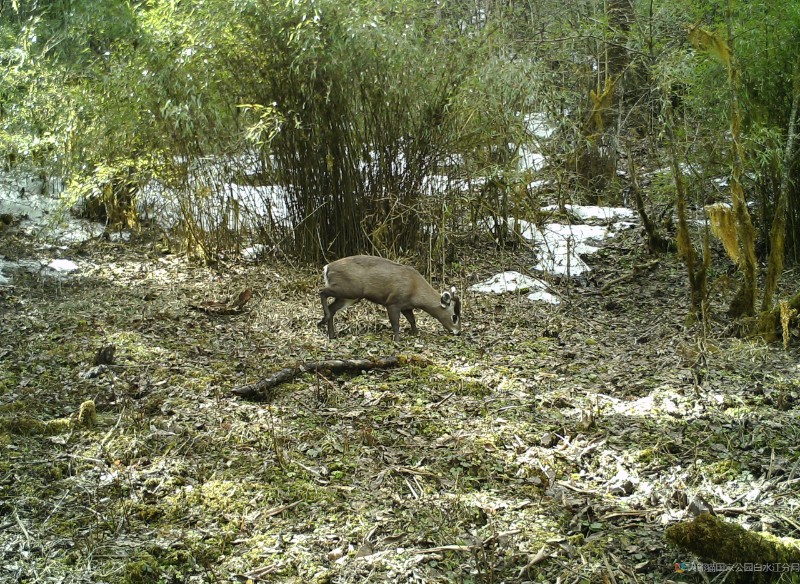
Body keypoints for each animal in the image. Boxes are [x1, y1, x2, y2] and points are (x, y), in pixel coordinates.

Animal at [318, 256, 460, 342]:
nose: (458, 332)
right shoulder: (393, 302)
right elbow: (395, 323)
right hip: (348, 289)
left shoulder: (406, 306)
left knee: (332, 308)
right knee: (322, 292)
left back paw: (331, 335)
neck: (415, 290)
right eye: (454, 316)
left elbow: (412, 320)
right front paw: (397, 340)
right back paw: (321, 322)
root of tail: (327, 268)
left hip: (350, 297)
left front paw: (415, 333)